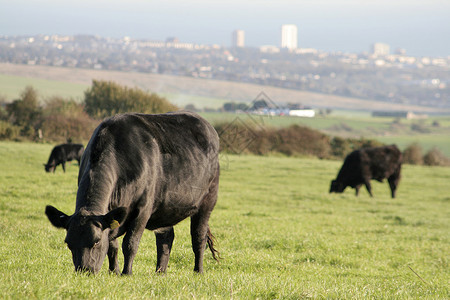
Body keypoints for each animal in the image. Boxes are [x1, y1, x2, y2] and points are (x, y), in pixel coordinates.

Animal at [45, 112, 220, 274]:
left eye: (96, 241)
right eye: (68, 243)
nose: (84, 270)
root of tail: (206, 125)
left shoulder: (143, 209)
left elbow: (130, 243)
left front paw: (126, 272)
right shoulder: (111, 216)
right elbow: (113, 246)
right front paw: (113, 271)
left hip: (208, 200)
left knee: (198, 237)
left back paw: (198, 270)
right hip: (166, 206)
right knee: (166, 238)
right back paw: (160, 272)